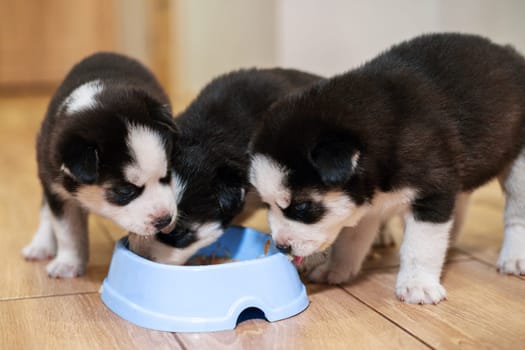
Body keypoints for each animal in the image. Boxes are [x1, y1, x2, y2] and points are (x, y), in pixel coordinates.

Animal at [23, 52, 178, 278]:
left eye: (166, 176)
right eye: (125, 191)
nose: (165, 219)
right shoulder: (57, 188)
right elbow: (67, 231)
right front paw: (68, 264)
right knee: (45, 210)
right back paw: (40, 245)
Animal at [248, 32, 524, 304]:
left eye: (302, 207)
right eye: (266, 205)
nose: (281, 247)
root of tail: (510, 51)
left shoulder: (432, 192)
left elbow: (420, 246)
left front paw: (417, 285)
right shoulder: (367, 206)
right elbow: (350, 240)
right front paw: (335, 269)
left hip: (519, 167)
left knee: (515, 215)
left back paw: (514, 257)